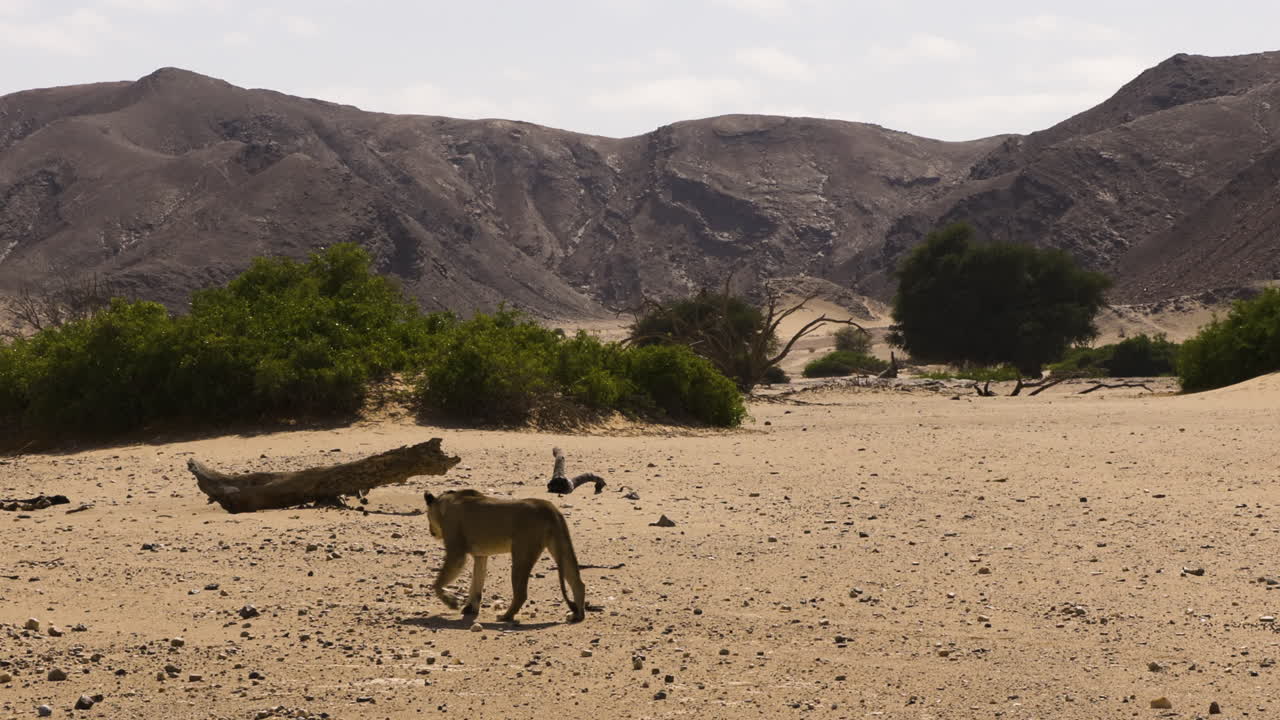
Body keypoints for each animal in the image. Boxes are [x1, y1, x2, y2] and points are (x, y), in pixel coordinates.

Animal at [423, 489, 586, 623]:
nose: (431, 531)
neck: (448, 502)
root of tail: (548, 507)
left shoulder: (456, 551)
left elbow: (437, 583)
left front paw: (451, 602)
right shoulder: (481, 555)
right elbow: (477, 581)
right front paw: (470, 608)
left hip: (521, 554)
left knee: (521, 594)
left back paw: (505, 616)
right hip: (562, 547)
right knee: (578, 583)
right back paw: (577, 615)